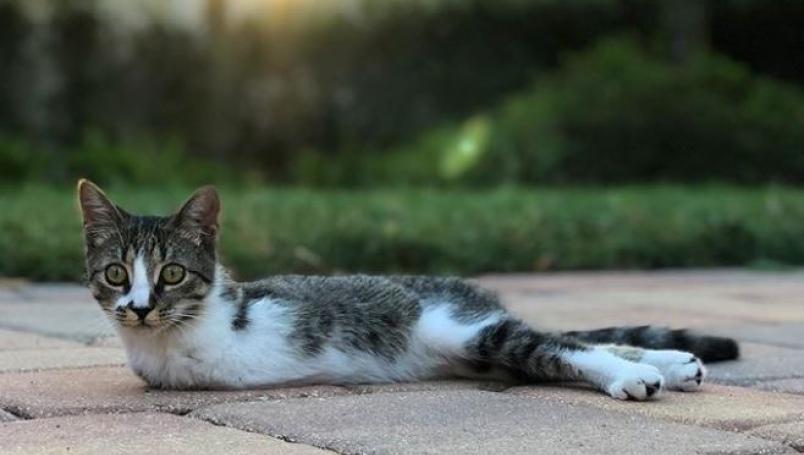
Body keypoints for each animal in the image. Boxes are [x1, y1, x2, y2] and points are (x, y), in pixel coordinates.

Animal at [78, 180, 740, 400]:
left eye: (171, 273)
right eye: (116, 274)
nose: (140, 308)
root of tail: (473, 293)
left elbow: (571, 344)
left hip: (462, 329)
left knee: (561, 345)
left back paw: (643, 373)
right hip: (478, 351)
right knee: (556, 347)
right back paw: (675, 363)